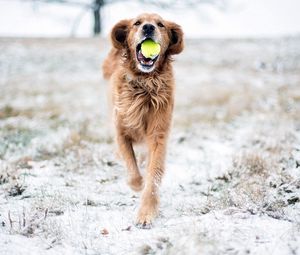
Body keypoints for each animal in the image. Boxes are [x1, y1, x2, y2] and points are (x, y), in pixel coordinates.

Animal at [102, 12, 183, 226]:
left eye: (161, 24)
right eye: (136, 23)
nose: (148, 27)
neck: (145, 83)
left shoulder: (158, 135)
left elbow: (153, 174)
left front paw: (146, 212)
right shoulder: (121, 132)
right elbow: (131, 166)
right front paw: (137, 184)